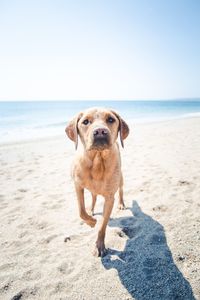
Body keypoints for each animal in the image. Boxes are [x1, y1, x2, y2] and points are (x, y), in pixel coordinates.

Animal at [65, 107, 129, 255]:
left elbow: (103, 226)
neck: (97, 162)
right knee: (93, 197)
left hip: (121, 178)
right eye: (85, 121)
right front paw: (91, 221)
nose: (100, 131)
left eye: (110, 119)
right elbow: (81, 211)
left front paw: (99, 245)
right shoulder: (77, 185)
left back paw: (121, 203)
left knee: (121, 190)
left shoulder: (110, 198)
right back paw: (92, 210)